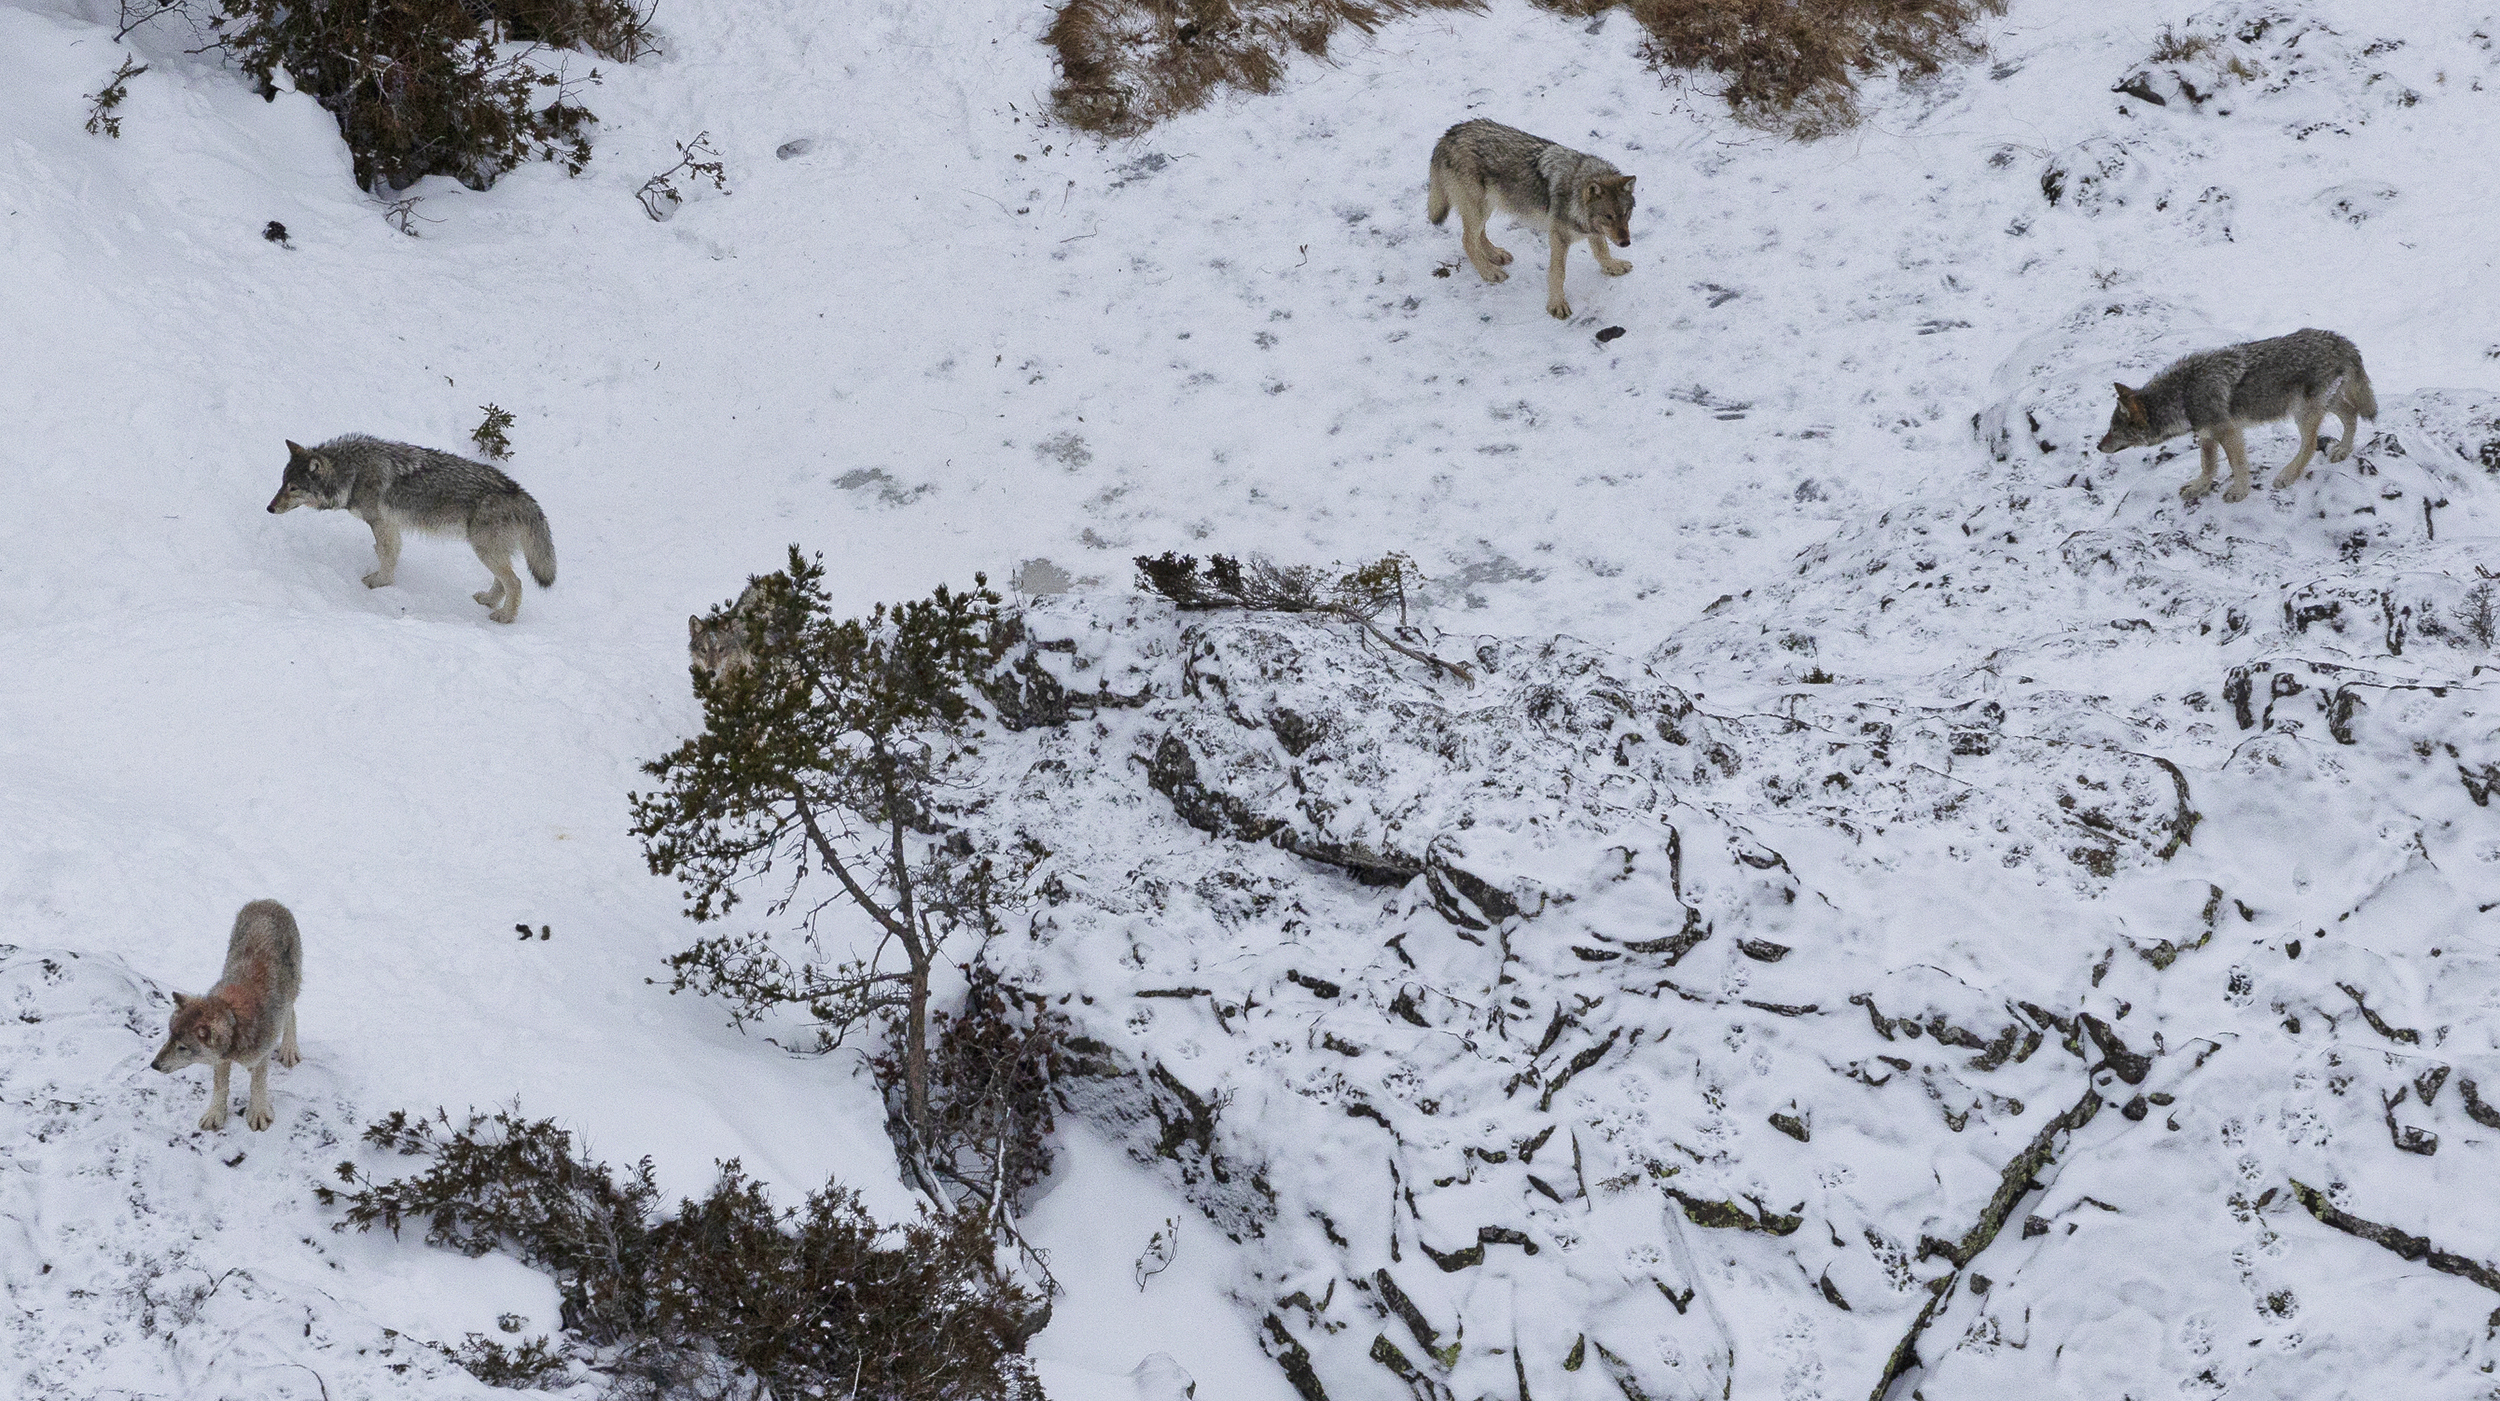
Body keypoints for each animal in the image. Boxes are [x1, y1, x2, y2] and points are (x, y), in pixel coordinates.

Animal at [153, 895, 302, 1140]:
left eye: (183, 1047)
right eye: (169, 1037)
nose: (153, 1065)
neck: (235, 1020)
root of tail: (266, 901)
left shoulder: (260, 1054)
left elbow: (258, 1082)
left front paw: (258, 1113)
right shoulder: (221, 1060)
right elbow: (220, 1086)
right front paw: (214, 1114)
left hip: (291, 989)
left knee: (291, 1013)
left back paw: (289, 1051)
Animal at [266, 432, 555, 617]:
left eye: (293, 488)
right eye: (282, 483)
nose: (269, 508)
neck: (354, 473)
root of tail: (521, 493)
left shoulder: (381, 523)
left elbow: (385, 555)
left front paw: (379, 582)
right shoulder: (391, 526)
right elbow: (390, 554)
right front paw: (384, 579)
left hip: (484, 550)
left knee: (516, 583)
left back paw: (505, 617)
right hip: (488, 551)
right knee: (504, 581)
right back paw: (488, 601)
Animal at [1430, 118, 1640, 322]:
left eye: (1626, 213)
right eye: (1608, 216)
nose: (1626, 243)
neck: (1575, 189)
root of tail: (1448, 134)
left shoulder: (1593, 230)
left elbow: (1602, 251)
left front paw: (1613, 266)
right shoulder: (1559, 237)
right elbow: (1558, 273)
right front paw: (1557, 304)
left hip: (1486, 207)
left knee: (1478, 235)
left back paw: (1495, 255)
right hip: (1479, 208)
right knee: (1467, 240)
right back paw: (1489, 271)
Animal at [2090, 327, 2380, 502]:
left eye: (2114, 430)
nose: (2098, 446)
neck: (2183, 394)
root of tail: (2341, 340)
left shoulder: (2229, 431)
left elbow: (2236, 464)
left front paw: (2239, 492)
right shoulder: (2207, 434)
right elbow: (2208, 466)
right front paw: (2199, 488)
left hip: (2302, 413)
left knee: (2309, 446)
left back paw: (2287, 476)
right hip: (2323, 405)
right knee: (2351, 414)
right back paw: (2342, 451)